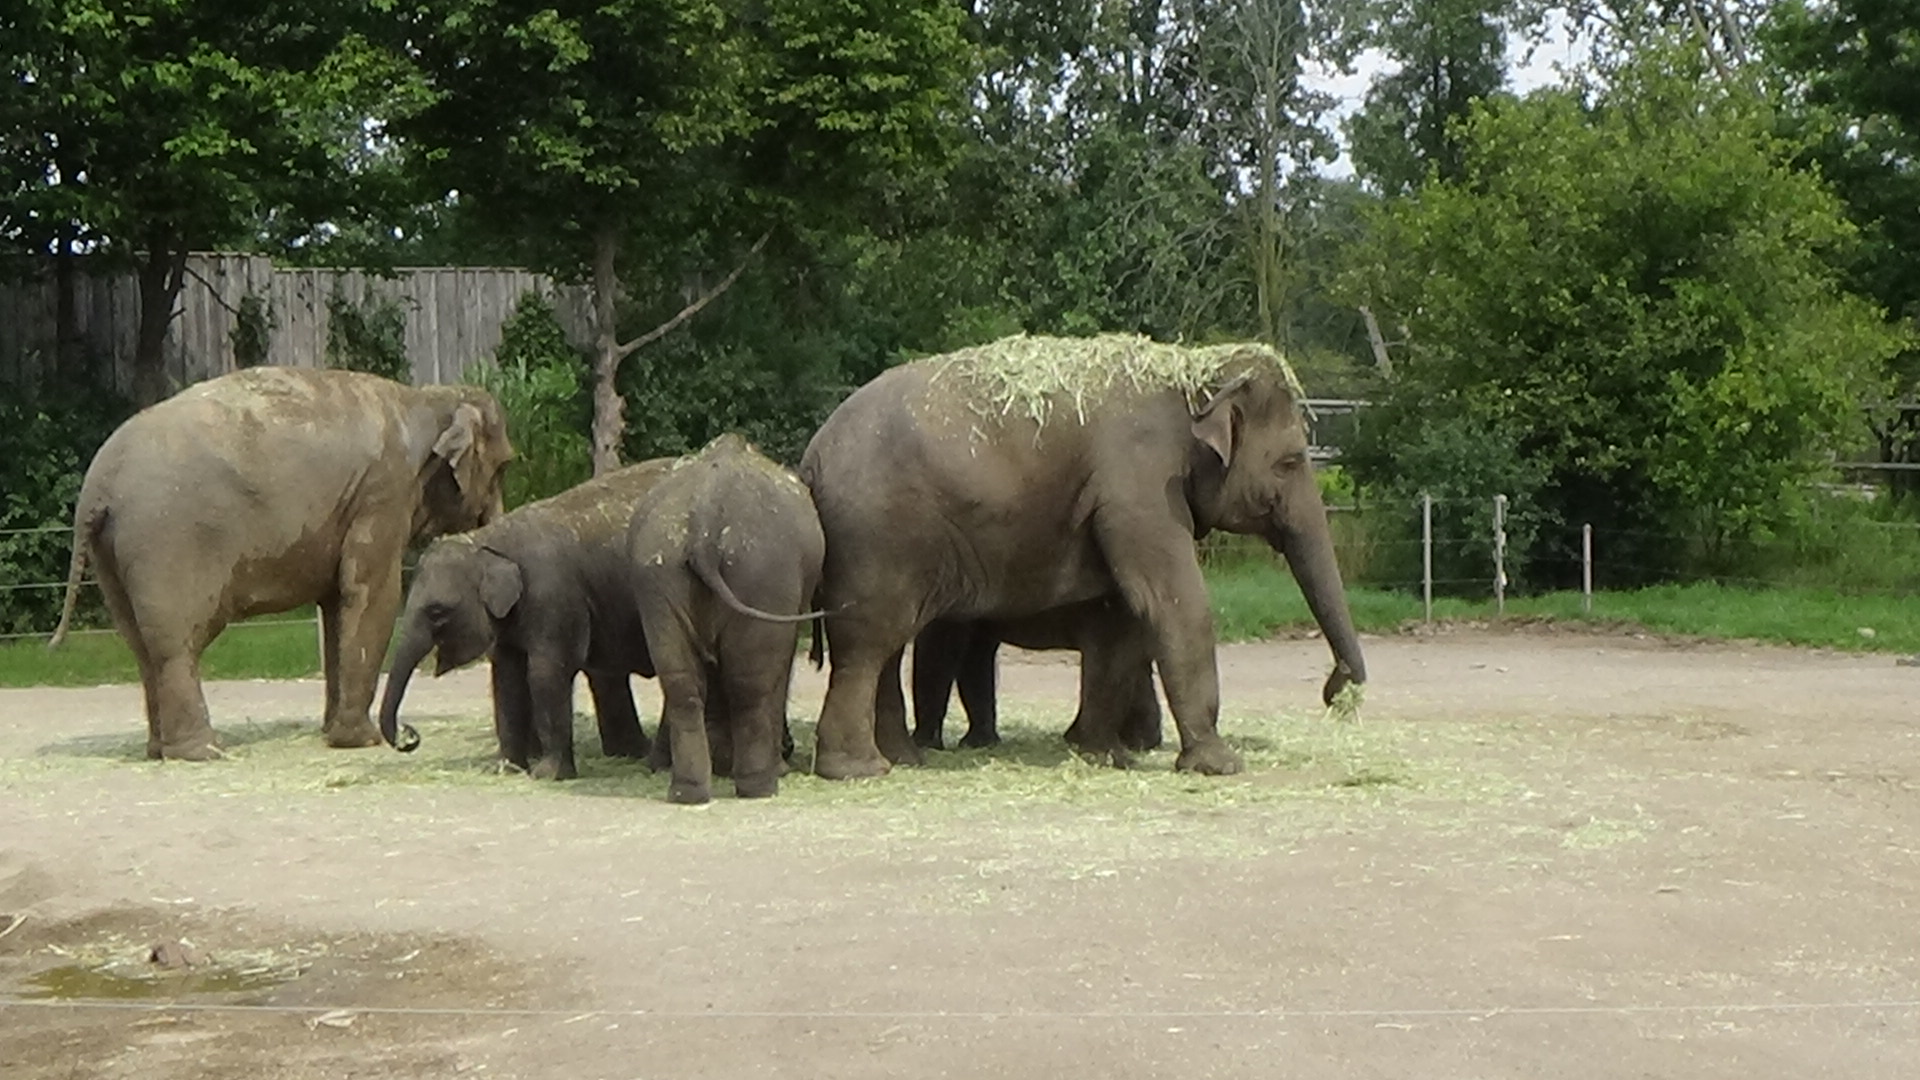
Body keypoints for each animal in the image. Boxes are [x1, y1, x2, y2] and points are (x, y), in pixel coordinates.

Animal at [47, 366, 513, 761]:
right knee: (174, 644)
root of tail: (96, 489)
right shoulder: (383, 491)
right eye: (503, 467)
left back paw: (159, 751)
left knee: (140, 644)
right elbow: (372, 594)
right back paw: (204, 753)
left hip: (113, 553)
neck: (428, 398)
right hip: (165, 542)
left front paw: (334, 734)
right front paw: (361, 741)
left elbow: (337, 606)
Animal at [376, 459, 678, 780]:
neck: (488, 540)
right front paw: (507, 769)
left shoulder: (553, 596)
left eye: (437, 611)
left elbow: (545, 673)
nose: (409, 735)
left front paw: (548, 774)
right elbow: (507, 678)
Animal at [627, 433, 826, 805]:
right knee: (750, 683)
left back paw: (687, 792)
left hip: (658, 576)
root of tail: (703, 526)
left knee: (681, 682)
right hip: (761, 571)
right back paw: (761, 786)